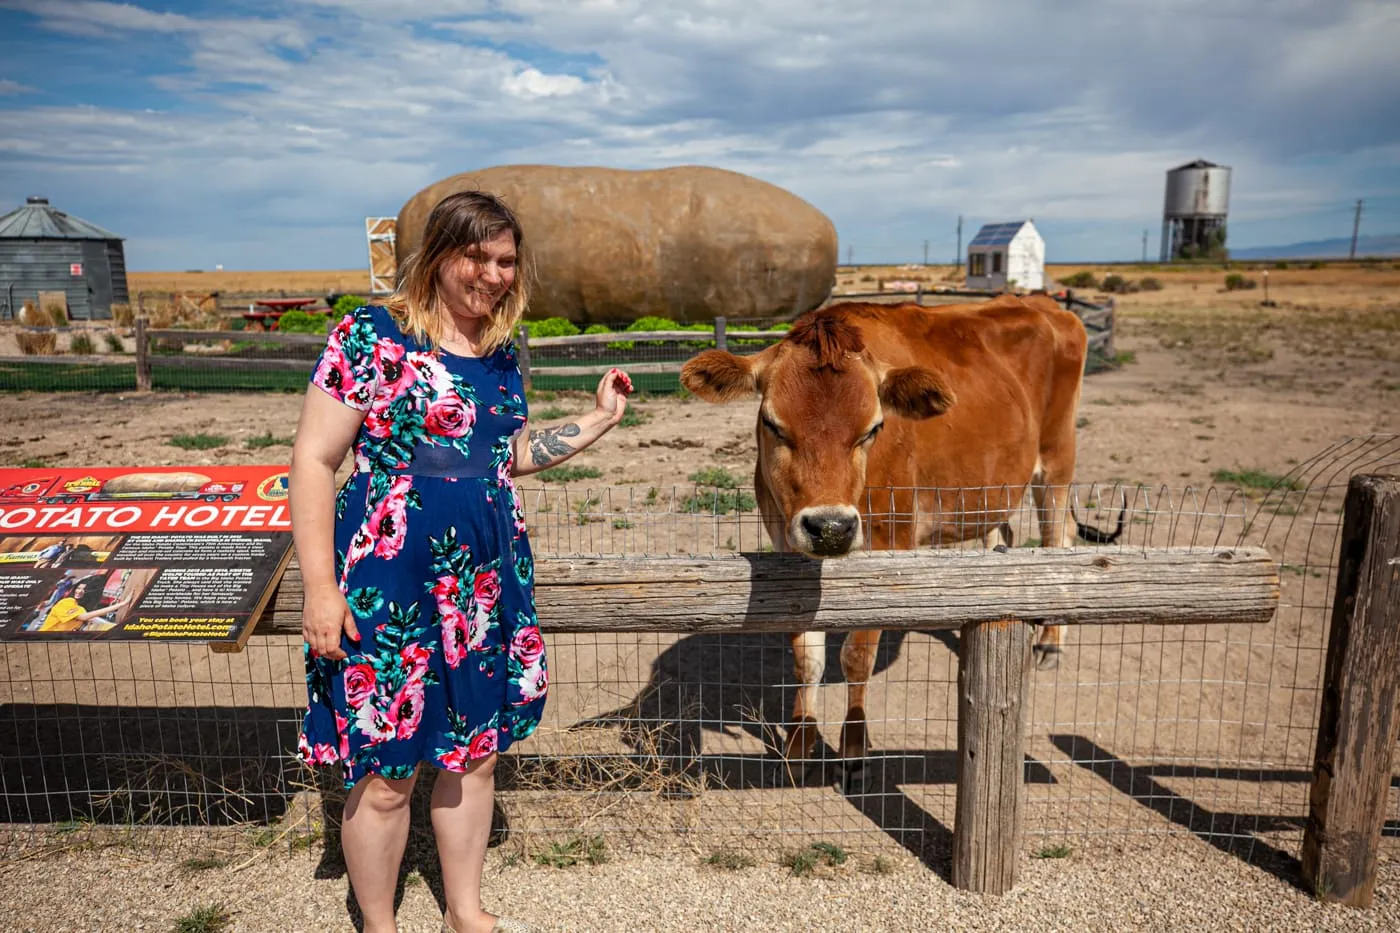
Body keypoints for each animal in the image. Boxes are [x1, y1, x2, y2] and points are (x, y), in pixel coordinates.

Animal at [677, 295, 1114, 784]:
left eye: (873, 427)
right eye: (773, 424)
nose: (830, 527)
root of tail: (1042, 302)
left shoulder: (887, 548)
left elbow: (857, 656)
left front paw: (853, 746)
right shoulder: (787, 549)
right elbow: (806, 656)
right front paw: (800, 742)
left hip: (1057, 461)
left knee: (1059, 536)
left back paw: (1050, 643)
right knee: (1000, 535)